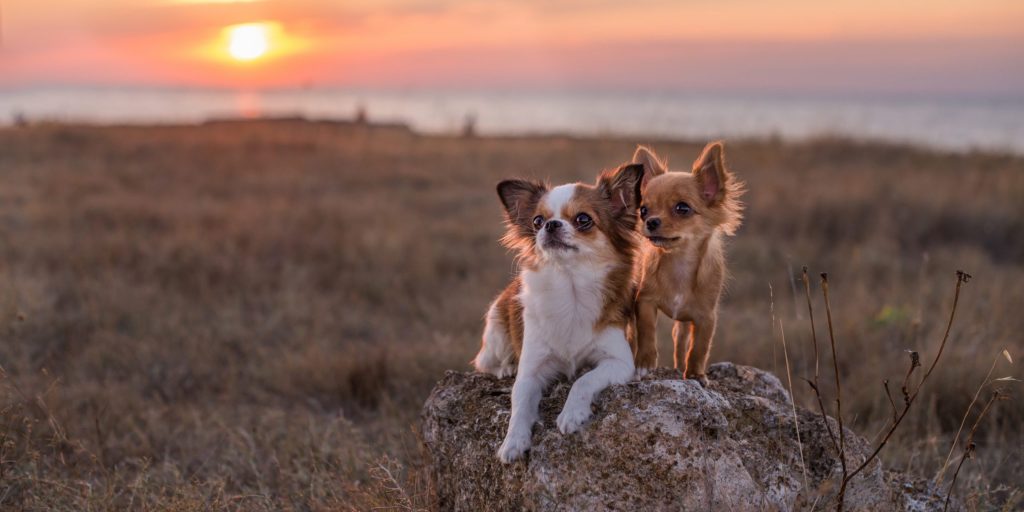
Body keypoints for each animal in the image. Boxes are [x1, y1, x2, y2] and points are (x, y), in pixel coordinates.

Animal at [471, 163, 638, 464]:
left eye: (583, 219)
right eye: (537, 221)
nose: (550, 225)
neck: (570, 290)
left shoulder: (619, 362)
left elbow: (583, 379)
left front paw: (571, 414)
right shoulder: (531, 371)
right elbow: (519, 403)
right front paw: (513, 441)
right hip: (496, 329)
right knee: (485, 363)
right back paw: (505, 368)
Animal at [630, 142, 745, 382]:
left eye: (682, 208)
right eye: (643, 210)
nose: (650, 222)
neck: (679, 262)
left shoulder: (706, 318)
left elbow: (699, 348)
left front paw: (695, 374)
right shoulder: (645, 302)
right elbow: (647, 332)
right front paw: (644, 362)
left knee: (681, 339)